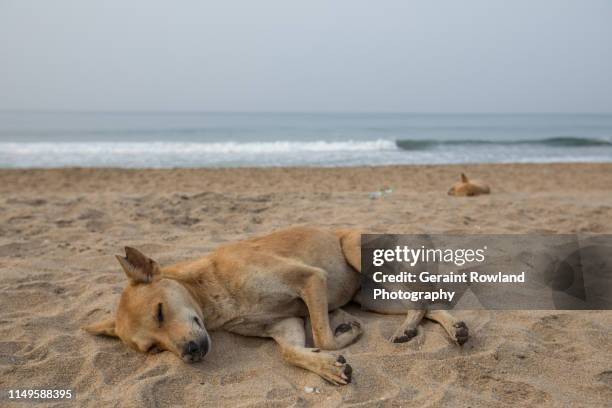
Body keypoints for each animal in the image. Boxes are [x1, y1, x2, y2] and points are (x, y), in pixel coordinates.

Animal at [83, 228, 468, 384]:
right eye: (151, 350)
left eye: (160, 310)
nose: (190, 353)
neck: (212, 289)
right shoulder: (284, 325)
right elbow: (290, 353)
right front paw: (327, 366)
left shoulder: (310, 278)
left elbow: (323, 336)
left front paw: (344, 335)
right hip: (375, 297)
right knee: (424, 304)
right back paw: (427, 328)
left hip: (362, 255)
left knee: (426, 295)